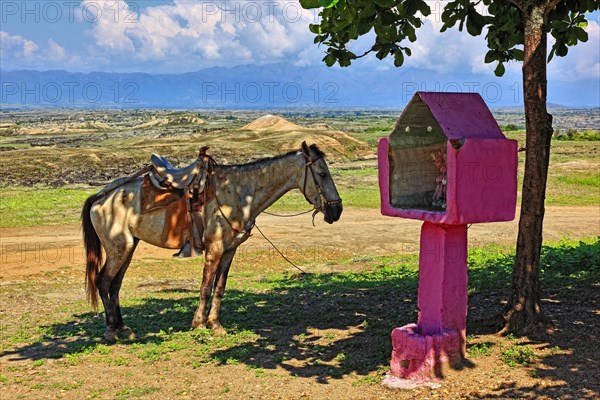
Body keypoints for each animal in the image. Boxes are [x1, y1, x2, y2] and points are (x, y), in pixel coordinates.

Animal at [81, 142, 342, 342]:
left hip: (129, 247)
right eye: (322, 174)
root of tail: (101, 196)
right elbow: (206, 286)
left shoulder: (229, 250)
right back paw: (111, 331)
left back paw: (123, 328)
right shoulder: (214, 248)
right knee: (103, 281)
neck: (237, 193)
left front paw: (215, 324)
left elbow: (219, 287)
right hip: (118, 247)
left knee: (115, 285)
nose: (336, 210)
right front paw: (198, 323)